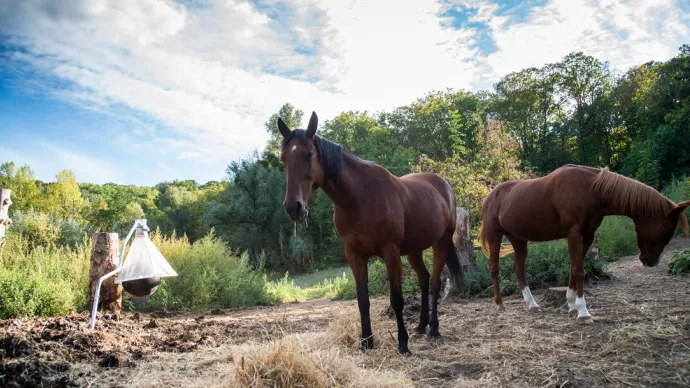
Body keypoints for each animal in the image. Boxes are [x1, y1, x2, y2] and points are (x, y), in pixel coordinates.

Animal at [276, 111, 462, 354]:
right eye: (283, 159)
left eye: (309, 154)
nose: (293, 207)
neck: (360, 197)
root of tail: (443, 186)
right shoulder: (354, 254)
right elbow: (362, 300)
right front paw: (366, 341)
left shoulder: (390, 252)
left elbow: (396, 298)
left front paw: (403, 343)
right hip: (414, 250)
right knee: (424, 278)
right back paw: (421, 326)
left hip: (441, 242)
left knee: (434, 284)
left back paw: (434, 330)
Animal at [478, 164, 688, 324]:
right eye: (665, 231)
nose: (651, 261)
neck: (591, 189)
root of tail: (490, 196)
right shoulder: (575, 233)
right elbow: (579, 270)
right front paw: (583, 312)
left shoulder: (587, 235)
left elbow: (574, 268)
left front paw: (571, 305)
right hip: (495, 235)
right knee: (494, 269)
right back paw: (500, 304)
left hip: (518, 239)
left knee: (519, 270)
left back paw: (532, 304)